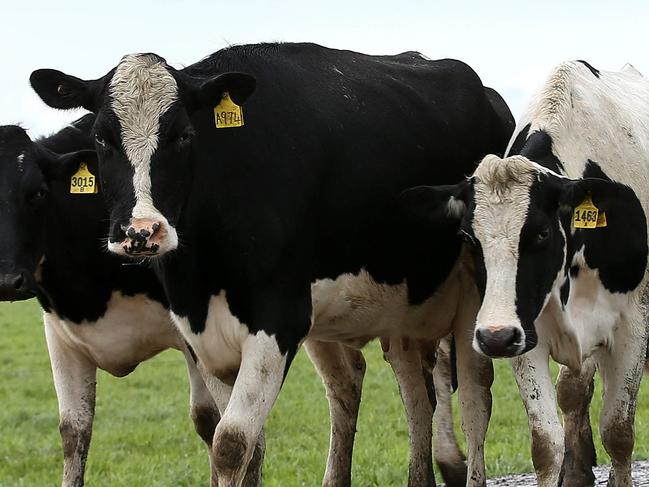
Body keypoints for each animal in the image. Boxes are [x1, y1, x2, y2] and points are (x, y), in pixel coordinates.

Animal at [30, 43, 512, 487]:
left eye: (182, 135)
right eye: (101, 138)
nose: (141, 232)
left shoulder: (279, 320)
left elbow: (231, 443)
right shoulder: (202, 335)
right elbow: (242, 442)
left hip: (477, 301)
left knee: (474, 397)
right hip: (401, 309)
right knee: (412, 392)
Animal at [400, 62, 648, 487]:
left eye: (542, 233)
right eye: (469, 237)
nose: (493, 338)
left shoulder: (632, 328)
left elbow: (618, 432)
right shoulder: (523, 334)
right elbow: (546, 443)